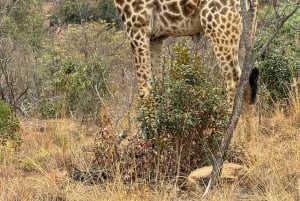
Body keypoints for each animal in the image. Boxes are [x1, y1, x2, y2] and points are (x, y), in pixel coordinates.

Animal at [113, 0, 258, 110]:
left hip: (218, 26)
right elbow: (157, 83)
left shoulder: (137, 25)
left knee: (233, 78)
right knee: (247, 79)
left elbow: (144, 88)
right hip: (244, 30)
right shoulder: (155, 37)